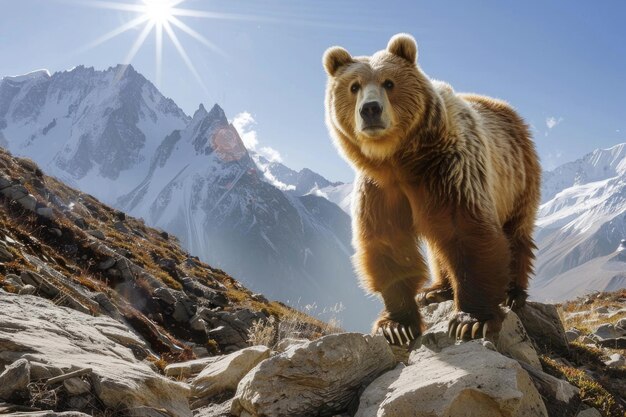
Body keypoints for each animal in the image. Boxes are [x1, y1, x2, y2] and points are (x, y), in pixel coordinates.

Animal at [322, 33, 536, 344]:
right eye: (354, 86)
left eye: (389, 82)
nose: (370, 109)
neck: (400, 160)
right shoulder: (380, 189)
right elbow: (389, 242)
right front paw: (397, 325)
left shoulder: (450, 170)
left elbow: (466, 232)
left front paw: (471, 320)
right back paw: (435, 290)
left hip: (518, 177)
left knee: (516, 232)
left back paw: (513, 292)